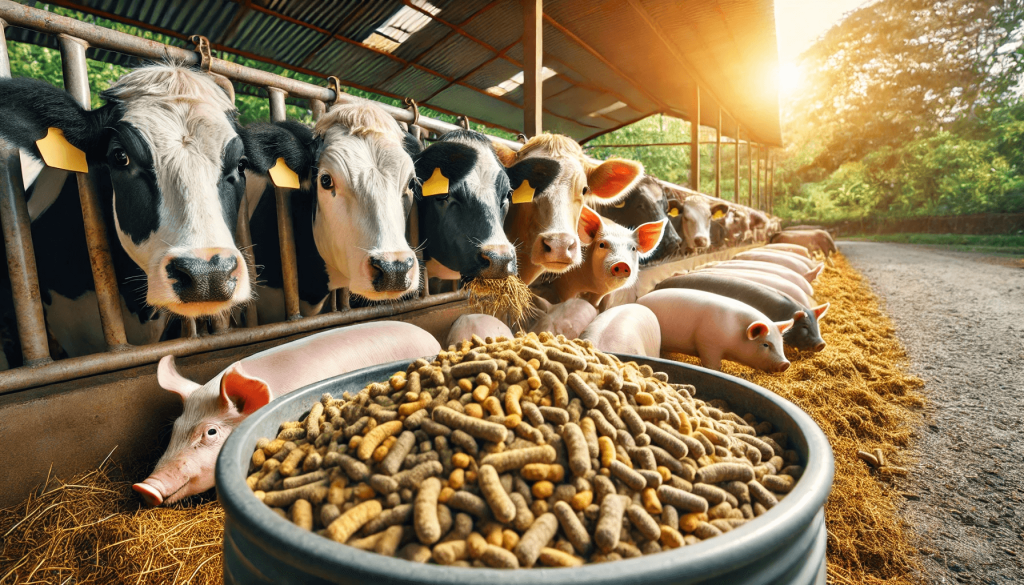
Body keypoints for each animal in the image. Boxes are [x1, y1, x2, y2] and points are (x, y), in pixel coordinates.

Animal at [634, 288, 794, 374]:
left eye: (781, 343)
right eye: (765, 344)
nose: (786, 364)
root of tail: (637, 301)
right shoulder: (708, 344)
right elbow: (712, 365)